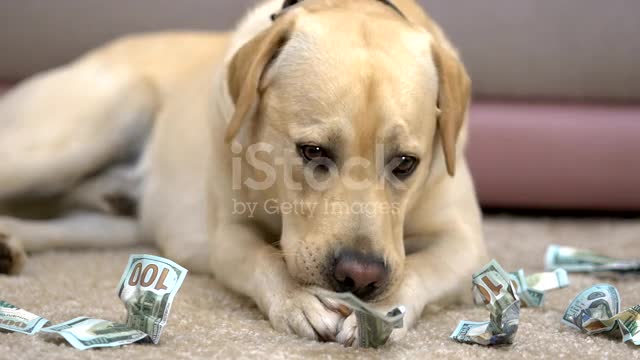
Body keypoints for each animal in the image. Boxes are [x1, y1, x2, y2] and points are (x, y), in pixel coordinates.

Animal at [0, 0, 484, 344]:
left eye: (406, 163)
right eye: (312, 151)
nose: (359, 276)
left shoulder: (464, 243)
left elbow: (418, 269)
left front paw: (385, 312)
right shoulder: (228, 233)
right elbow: (262, 258)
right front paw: (298, 301)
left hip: (120, 226)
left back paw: (11, 242)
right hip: (88, 128)